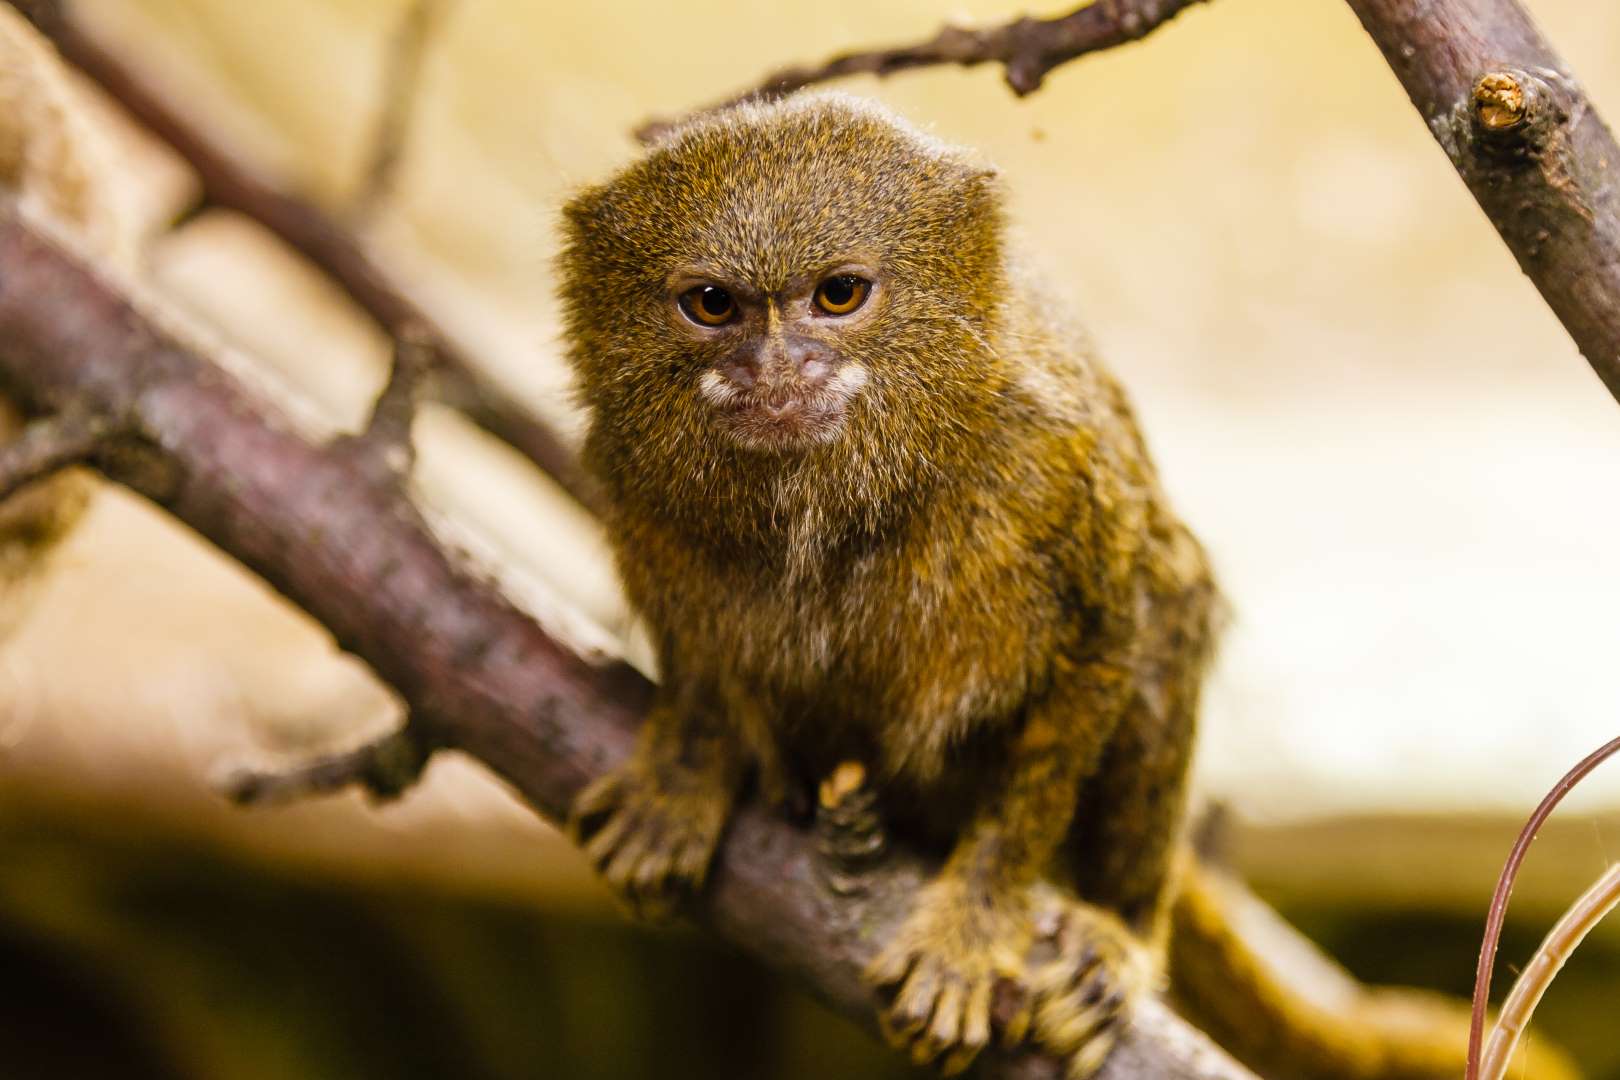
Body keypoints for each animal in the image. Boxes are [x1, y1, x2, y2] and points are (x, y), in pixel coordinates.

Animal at [560, 95, 1581, 1080]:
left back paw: (1112, 938)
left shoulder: (1054, 469)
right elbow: (698, 664)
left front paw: (973, 932)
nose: (777, 368)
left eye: (839, 294)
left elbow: (1095, 673)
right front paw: (682, 777)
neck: (832, 500)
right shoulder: (628, 478)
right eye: (711, 304)